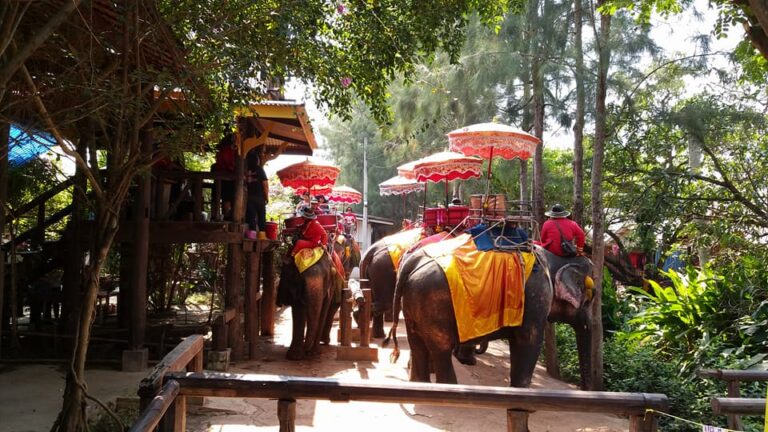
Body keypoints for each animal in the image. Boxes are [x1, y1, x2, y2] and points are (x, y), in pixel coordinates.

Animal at [388, 244, 591, 388]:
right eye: (590, 299)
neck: (553, 258)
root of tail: (412, 261)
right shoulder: (537, 299)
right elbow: (529, 341)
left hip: (413, 302)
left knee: (417, 344)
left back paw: (420, 385)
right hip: (433, 302)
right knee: (441, 347)